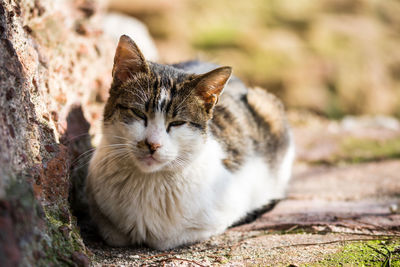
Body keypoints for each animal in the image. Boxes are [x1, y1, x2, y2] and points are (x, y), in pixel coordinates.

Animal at [86, 34, 294, 250]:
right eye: (138, 113)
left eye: (177, 123)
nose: (152, 144)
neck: (147, 182)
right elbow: (112, 232)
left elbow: (168, 237)